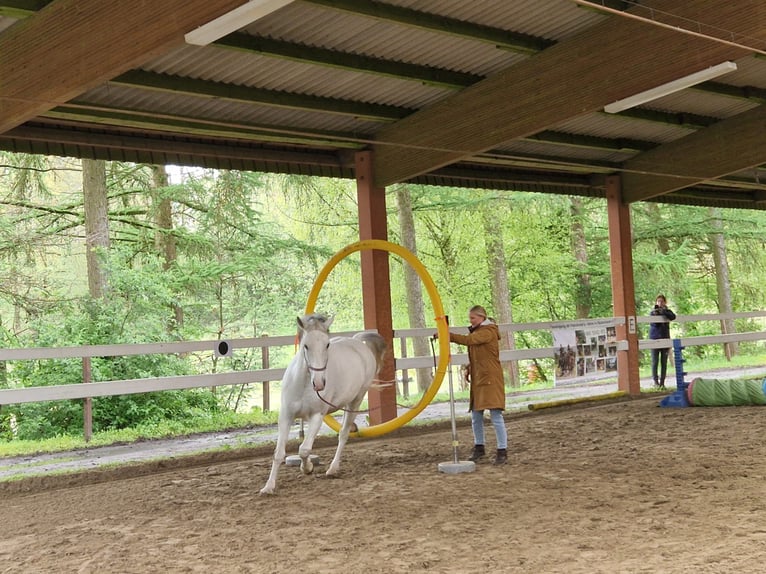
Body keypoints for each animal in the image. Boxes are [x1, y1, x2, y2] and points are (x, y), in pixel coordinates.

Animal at [260, 316, 388, 496]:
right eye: (306, 345)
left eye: (327, 344)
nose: (319, 383)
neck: (304, 385)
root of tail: (357, 342)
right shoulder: (286, 416)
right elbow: (278, 453)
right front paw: (268, 487)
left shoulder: (317, 417)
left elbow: (304, 449)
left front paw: (307, 468)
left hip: (355, 402)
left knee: (343, 434)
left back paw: (333, 469)